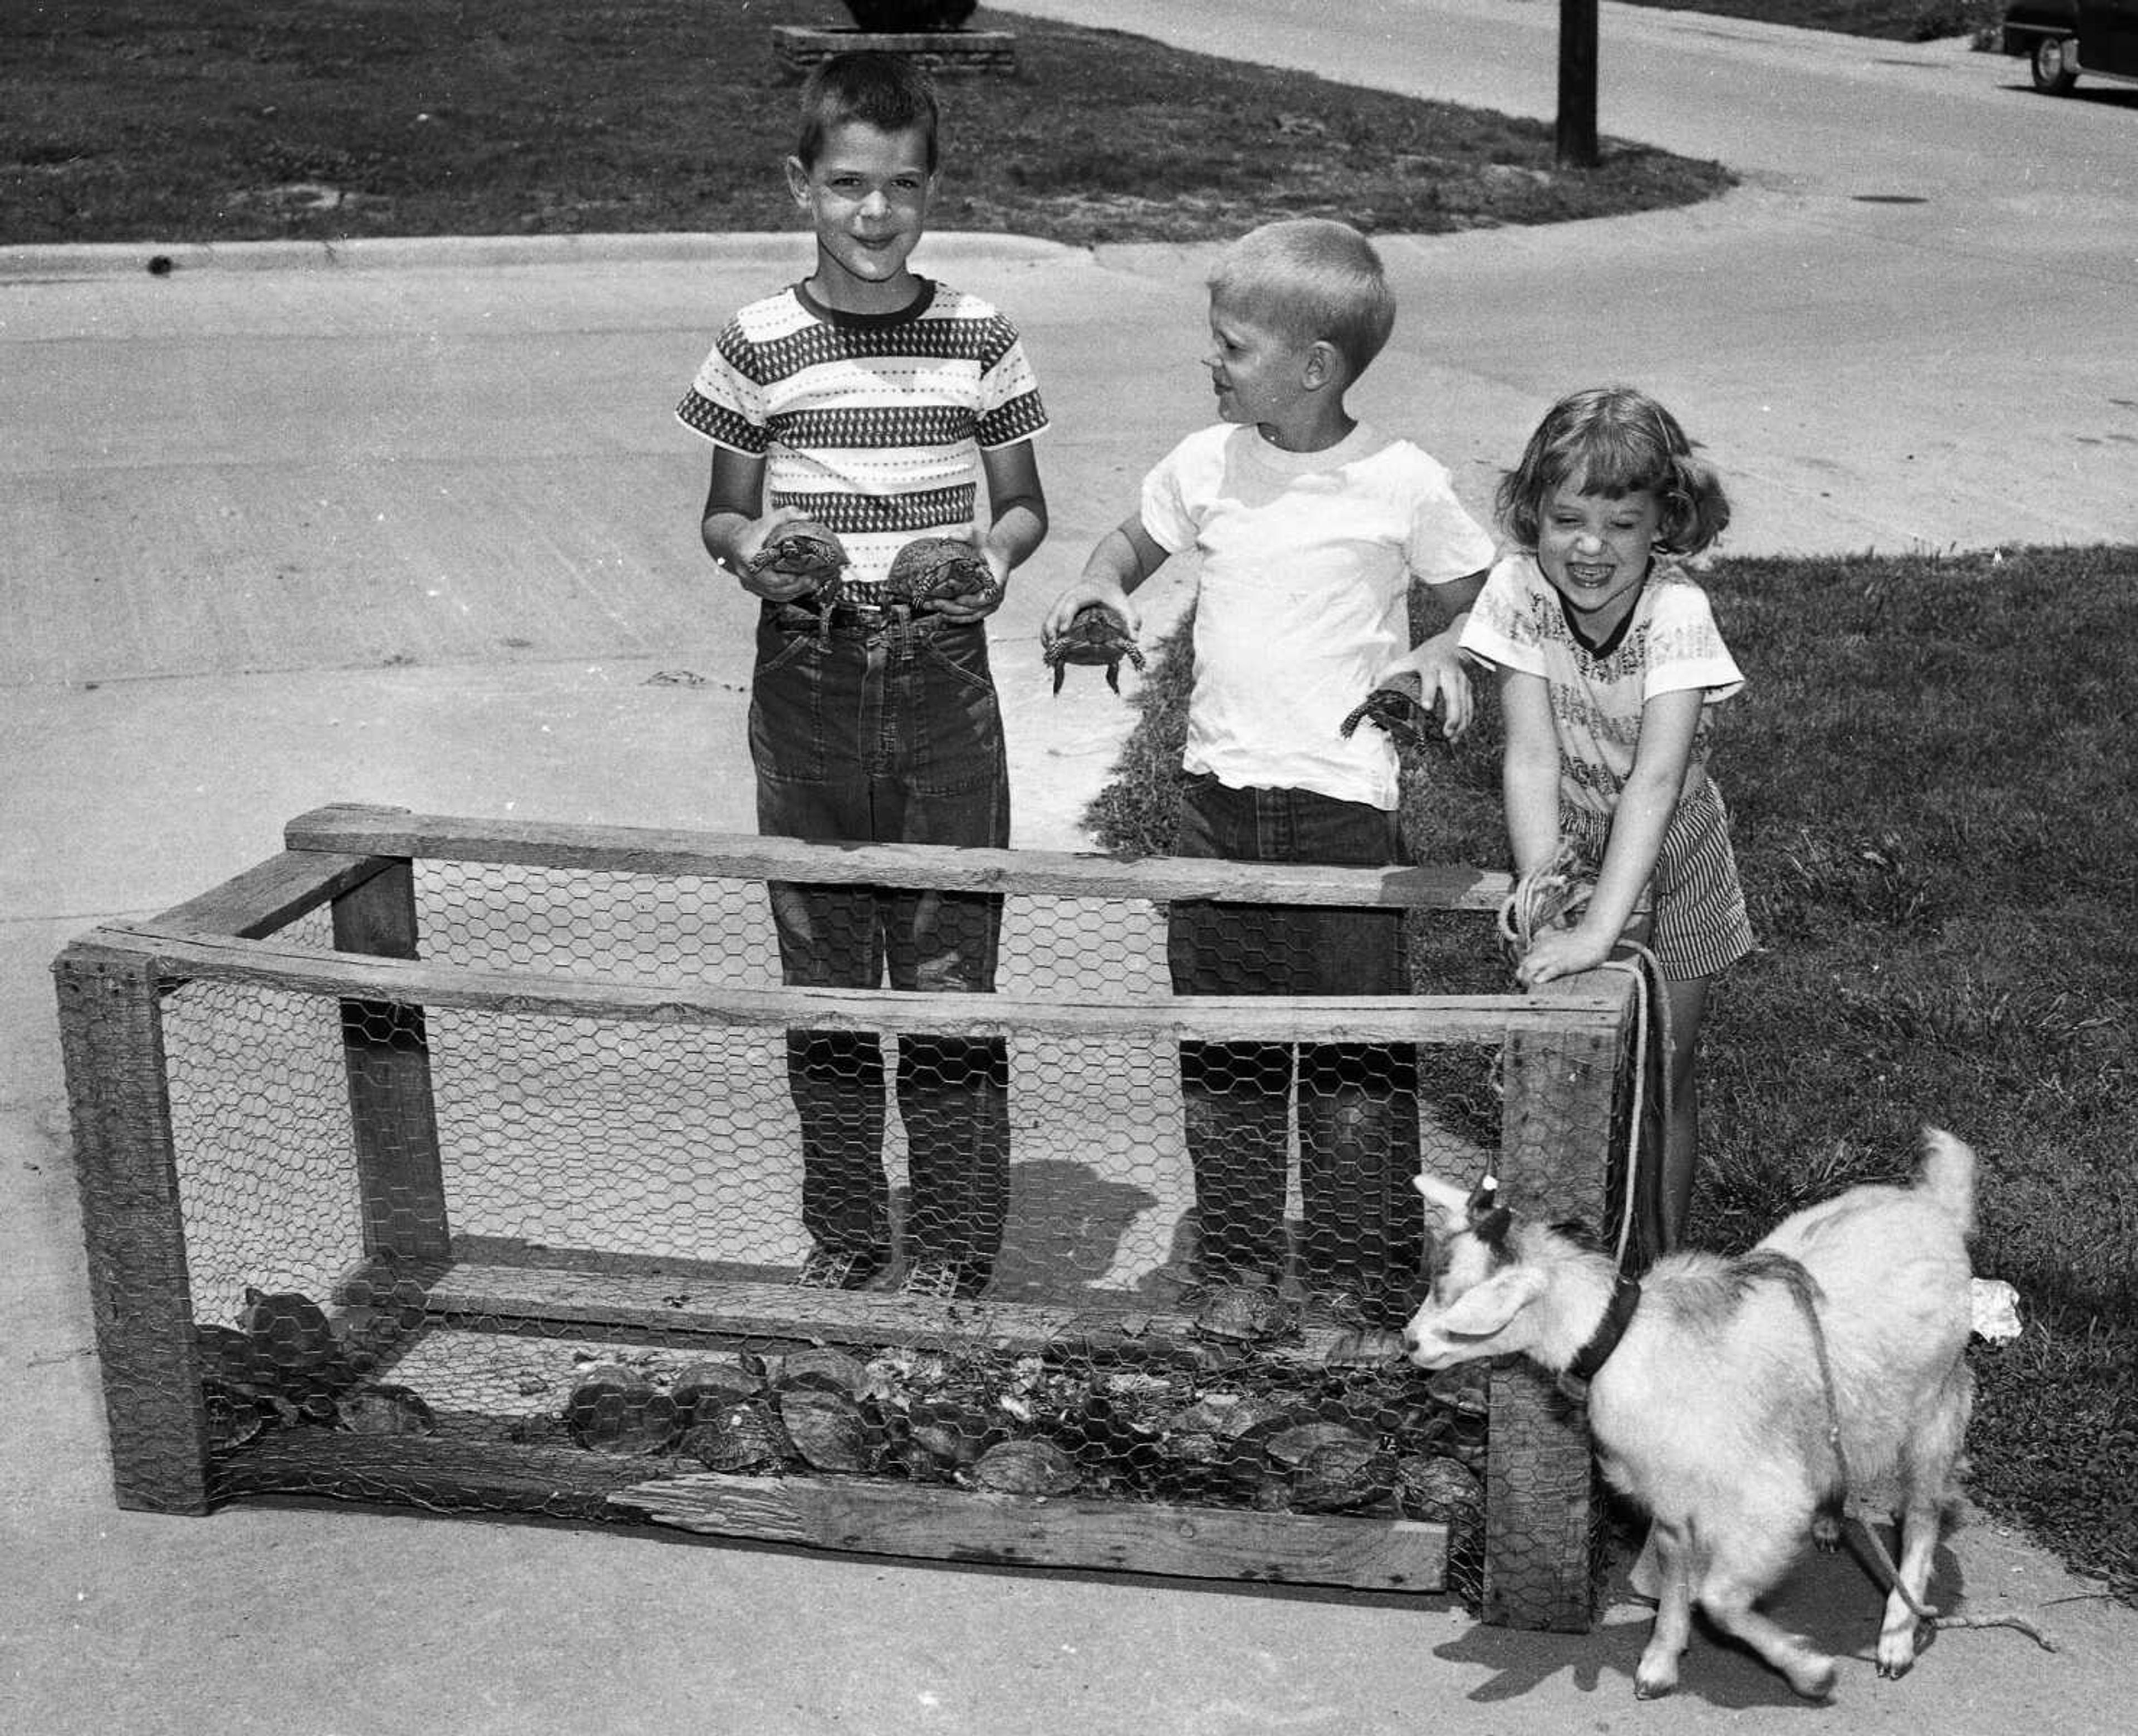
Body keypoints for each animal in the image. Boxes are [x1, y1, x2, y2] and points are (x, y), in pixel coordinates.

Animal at [1394, 1120, 1975, 1701]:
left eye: (1461, 1299)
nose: (1410, 1343)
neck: (1628, 1340)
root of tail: (1934, 1204)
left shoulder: (1766, 1501)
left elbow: (1717, 1599)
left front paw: (1811, 1670)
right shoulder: (1670, 1493)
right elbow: (1676, 1578)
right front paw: (1660, 1661)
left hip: (1938, 1405)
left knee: (1923, 1513)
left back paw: (1897, 1636)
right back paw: (1832, 1520)